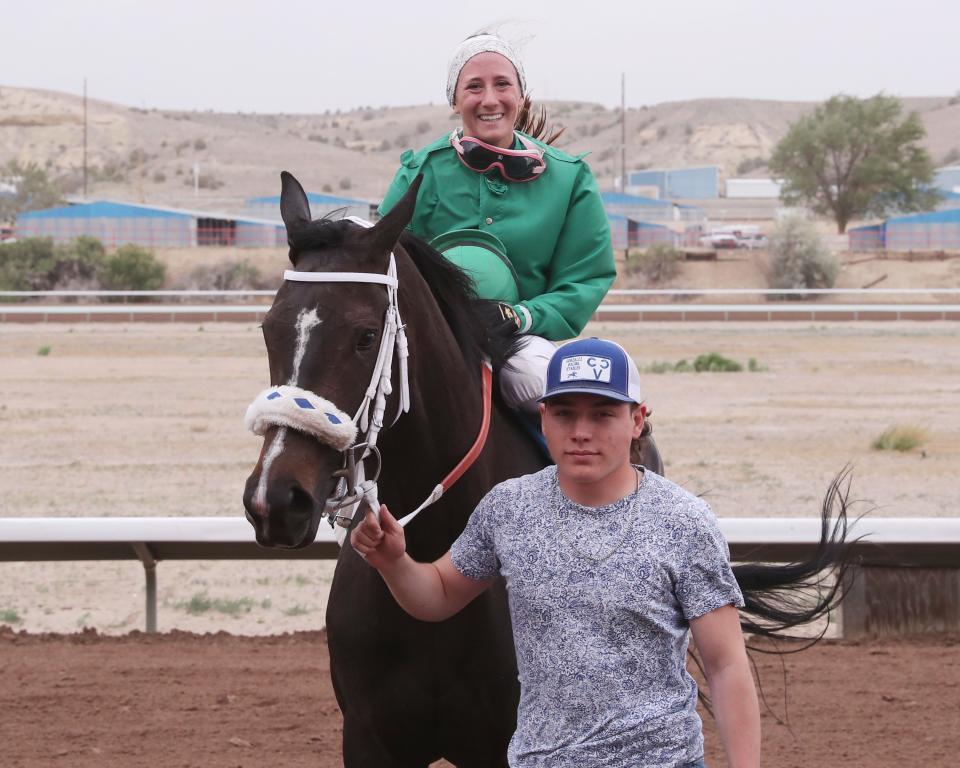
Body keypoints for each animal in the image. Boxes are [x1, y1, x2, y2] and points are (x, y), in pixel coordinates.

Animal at [244, 172, 852, 768]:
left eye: (365, 335)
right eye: (269, 328)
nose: (276, 499)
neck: (437, 546)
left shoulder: (502, 744)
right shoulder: (370, 740)